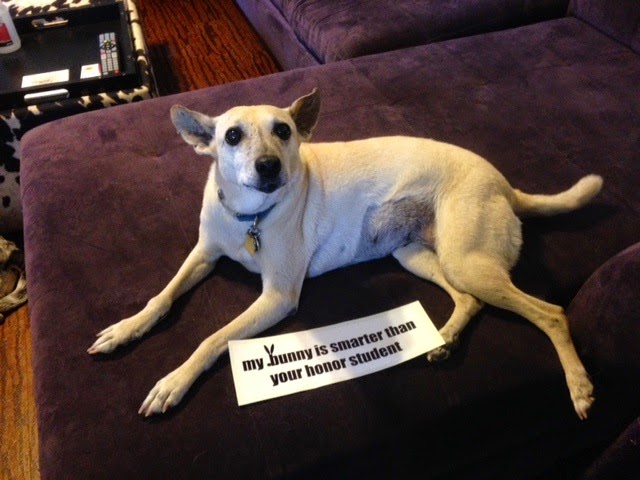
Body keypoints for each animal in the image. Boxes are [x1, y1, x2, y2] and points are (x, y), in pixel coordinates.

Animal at [88, 89, 601, 419]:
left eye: (284, 131)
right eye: (231, 136)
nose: (269, 166)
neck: (248, 217)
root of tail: (505, 185)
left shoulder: (277, 298)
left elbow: (213, 339)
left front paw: (173, 382)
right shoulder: (203, 254)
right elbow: (162, 298)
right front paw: (125, 330)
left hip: (468, 263)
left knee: (551, 313)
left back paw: (578, 386)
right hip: (418, 256)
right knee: (469, 301)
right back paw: (444, 339)